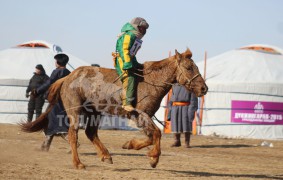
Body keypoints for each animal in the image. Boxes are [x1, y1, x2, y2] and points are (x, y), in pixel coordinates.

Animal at [21, 48, 209, 169]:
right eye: (189, 67)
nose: (203, 89)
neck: (150, 81)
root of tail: (68, 78)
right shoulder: (139, 115)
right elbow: (156, 133)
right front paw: (153, 157)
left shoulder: (144, 117)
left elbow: (151, 135)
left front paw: (132, 146)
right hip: (75, 112)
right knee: (73, 135)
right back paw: (78, 163)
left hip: (94, 112)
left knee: (90, 132)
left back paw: (106, 156)